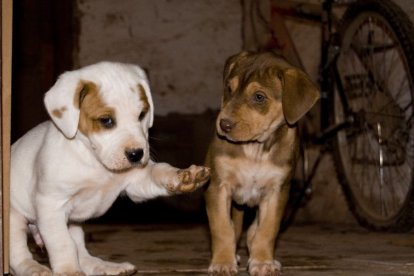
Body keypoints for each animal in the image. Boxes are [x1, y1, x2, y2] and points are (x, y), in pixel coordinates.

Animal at [8, 61, 210, 274]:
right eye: (106, 121)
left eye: (142, 114)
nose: (136, 154)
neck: (93, 160)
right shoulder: (51, 206)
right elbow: (63, 245)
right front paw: (69, 271)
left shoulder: (136, 183)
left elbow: (157, 171)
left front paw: (181, 176)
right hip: (15, 220)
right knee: (18, 254)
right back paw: (33, 268)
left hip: (73, 224)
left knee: (82, 252)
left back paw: (104, 266)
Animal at [205, 50, 318, 274]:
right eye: (229, 89)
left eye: (259, 97)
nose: (224, 124)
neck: (255, 150)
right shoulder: (217, 187)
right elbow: (223, 228)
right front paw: (223, 262)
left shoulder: (277, 192)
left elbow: (266, 230)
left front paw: (263, 261)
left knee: (252, 230)